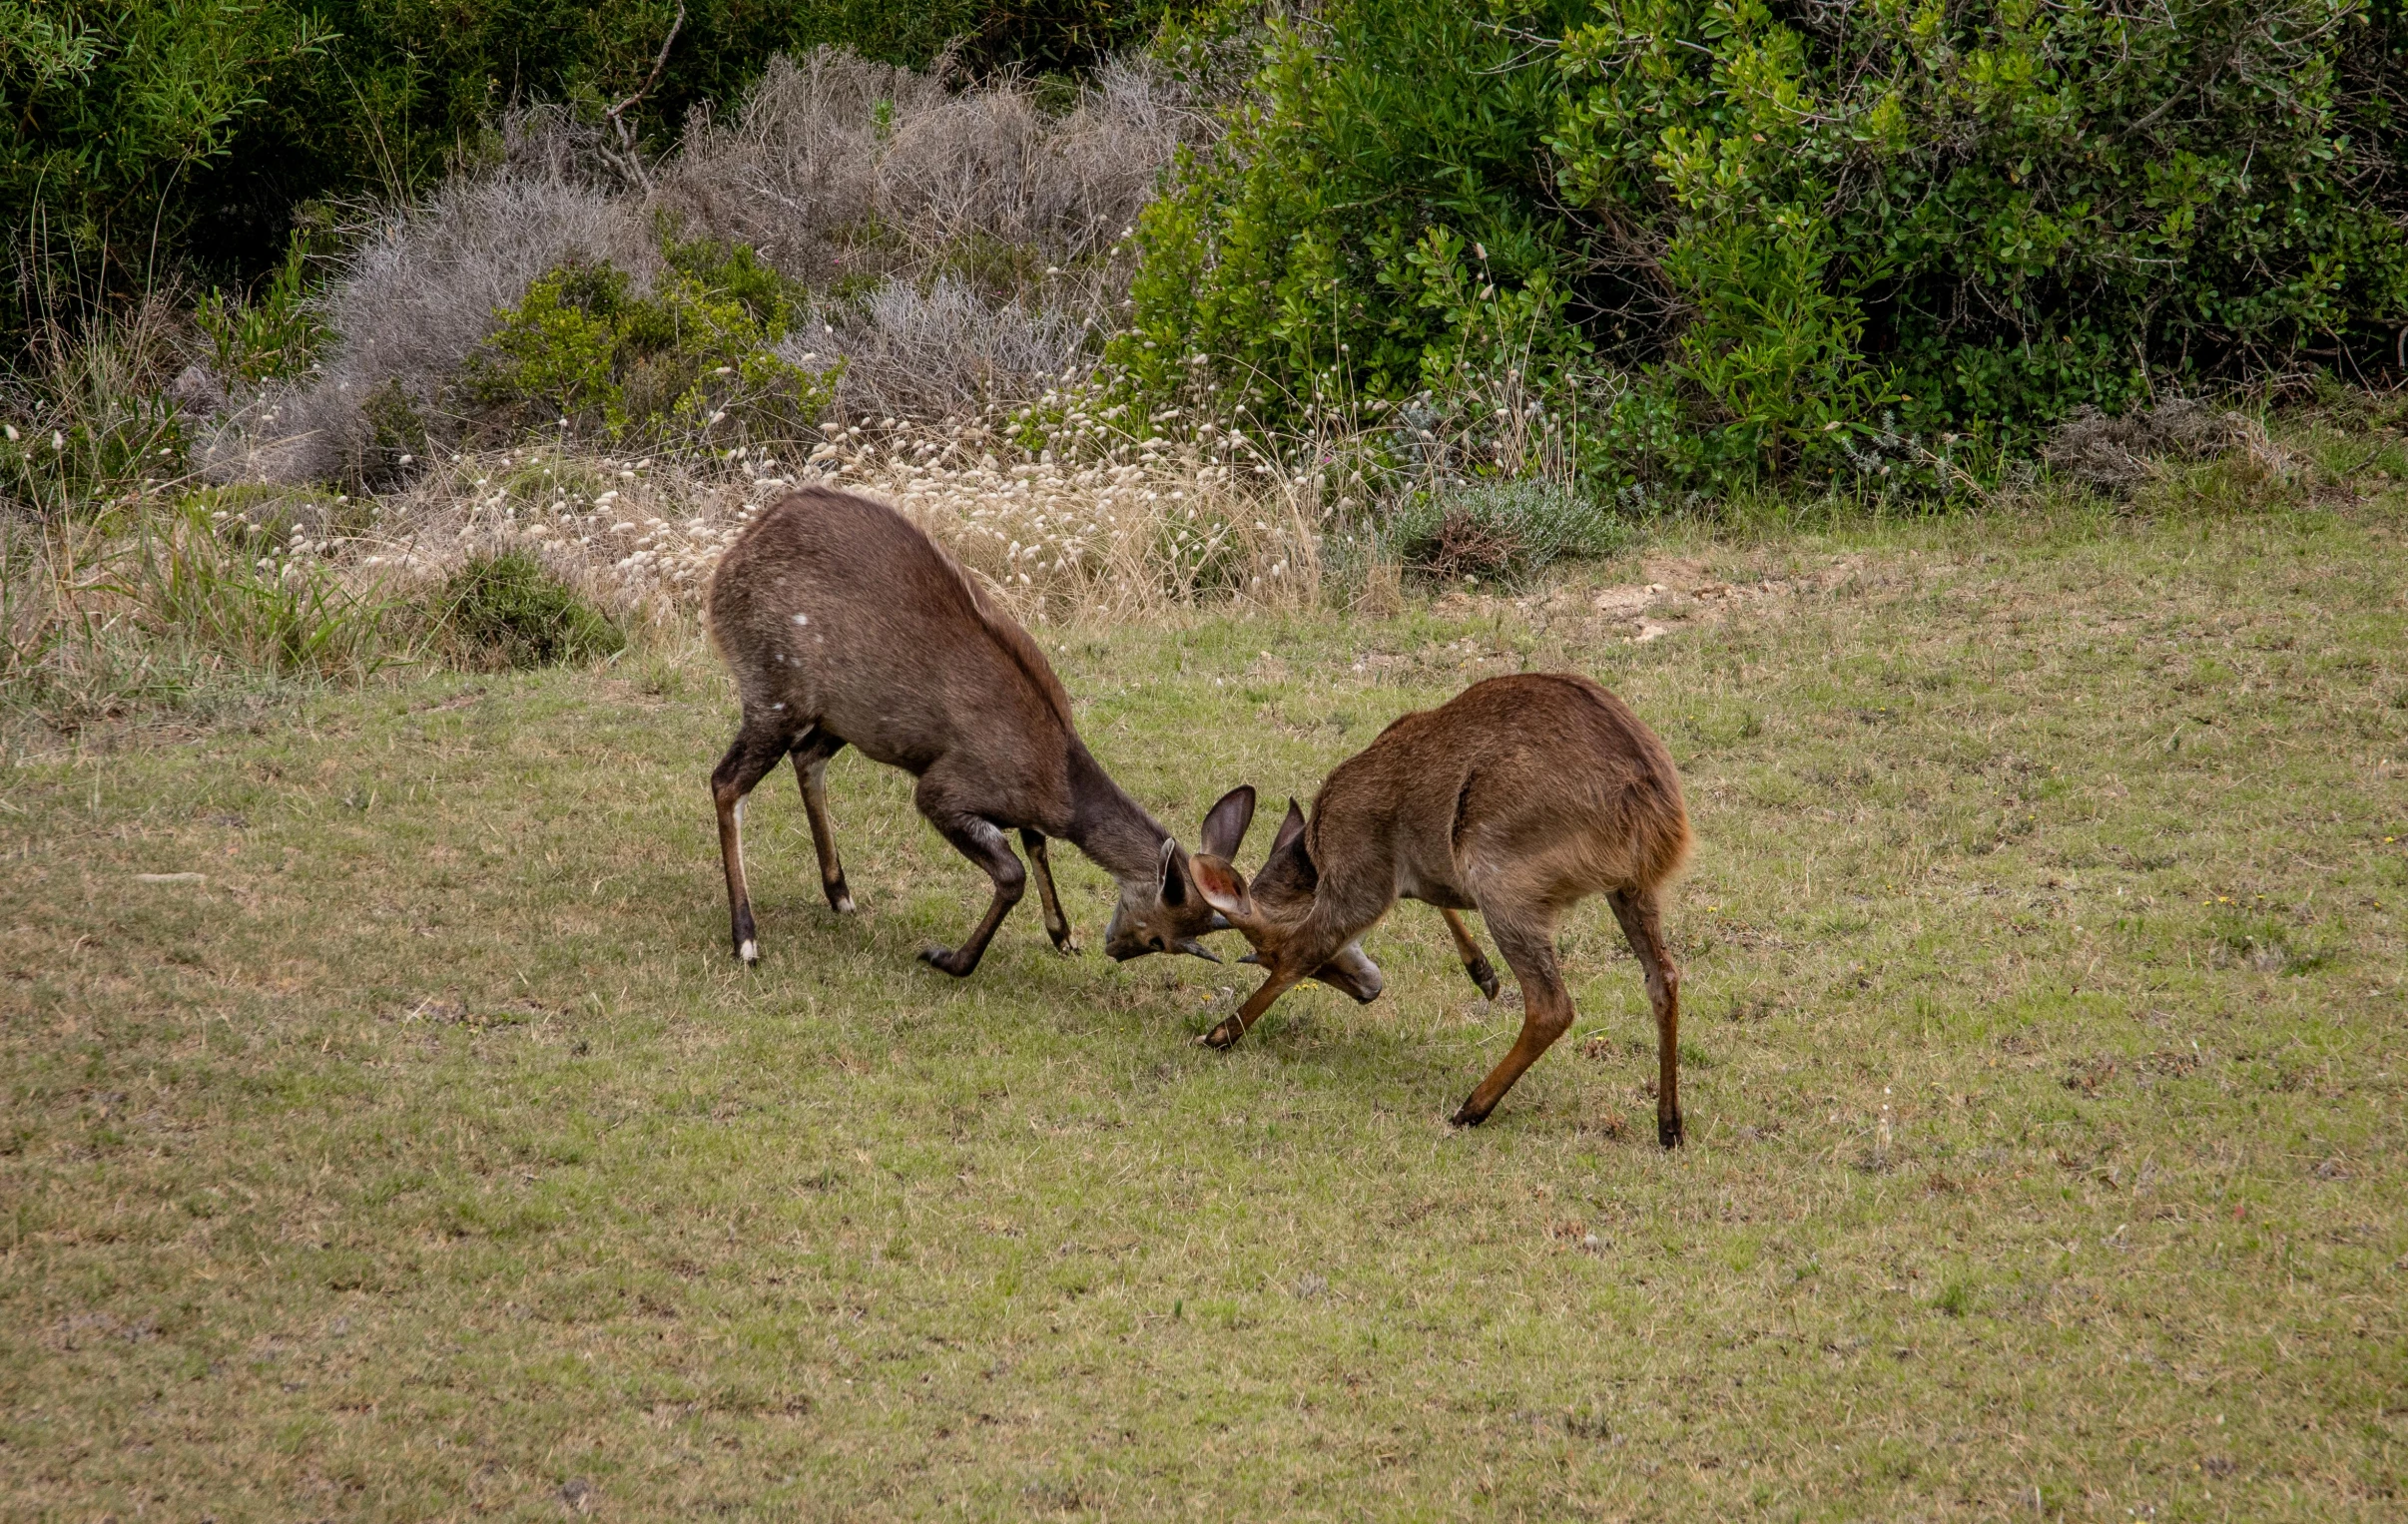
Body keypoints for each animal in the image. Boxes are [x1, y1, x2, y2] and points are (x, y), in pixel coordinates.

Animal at [698, 486, 1252, 972]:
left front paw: (1063, 935)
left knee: (807, 759)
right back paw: (746, 939)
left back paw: (841, 895)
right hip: (774, 690)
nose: (1114, 949)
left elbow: (1035, 845)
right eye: (1161, 938)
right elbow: (1012, 873)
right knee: (727, 781)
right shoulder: (946, 788)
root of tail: (724, 571)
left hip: (841, 716)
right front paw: (947, 958)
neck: (1060, 781)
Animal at [1184, 669, 1695, 1141]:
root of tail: (1657, 815)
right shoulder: (1419, 876)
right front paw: (1482, 972)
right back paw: (1669, 1126)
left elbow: (1302, 952)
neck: (1316, 849)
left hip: (1501, 881)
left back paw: (1470, 1108)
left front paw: (1219, 1033)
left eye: (1264, 952)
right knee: (1663, 977)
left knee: (1553, 1004)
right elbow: (1439, 902)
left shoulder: (1360, 883)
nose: (1368, 991)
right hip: (1629, 890)